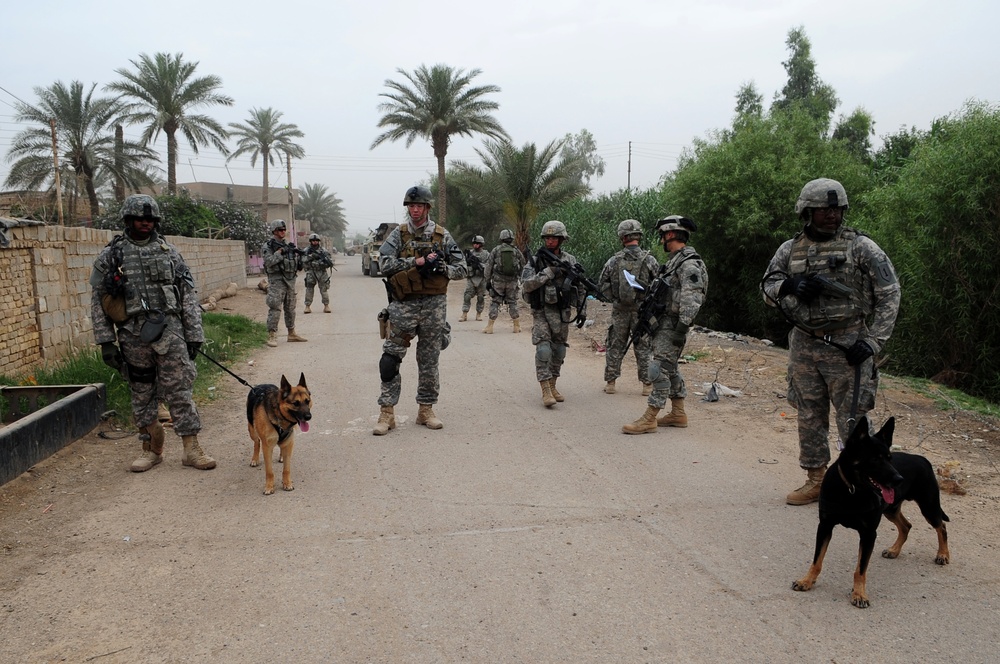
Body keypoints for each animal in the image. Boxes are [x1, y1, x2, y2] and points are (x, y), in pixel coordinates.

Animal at [792, 418, 948, 608]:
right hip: (891, 510)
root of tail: (922, 458)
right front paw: (807, 581)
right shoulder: (825, 527)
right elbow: (817, 560)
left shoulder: (868, 534)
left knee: (941, 526)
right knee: (906, 526)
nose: (899, 479)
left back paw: (943, 554)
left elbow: (860, 570)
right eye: (874, 459)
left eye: (889, 458)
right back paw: (894, 550)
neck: (851, 489)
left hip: (929, 507)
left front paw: (859, 594)